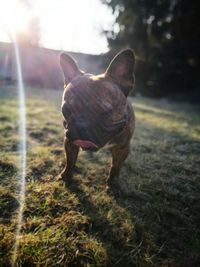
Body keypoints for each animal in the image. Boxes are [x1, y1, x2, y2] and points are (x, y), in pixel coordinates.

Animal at [58, 49, 135, 194]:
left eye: (106, 112)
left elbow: (115, 167)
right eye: (65, 110)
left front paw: (112, 185)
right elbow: (70, 160)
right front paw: (66, 176)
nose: (81, 126)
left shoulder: (123, 147)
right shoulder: (69, 141)